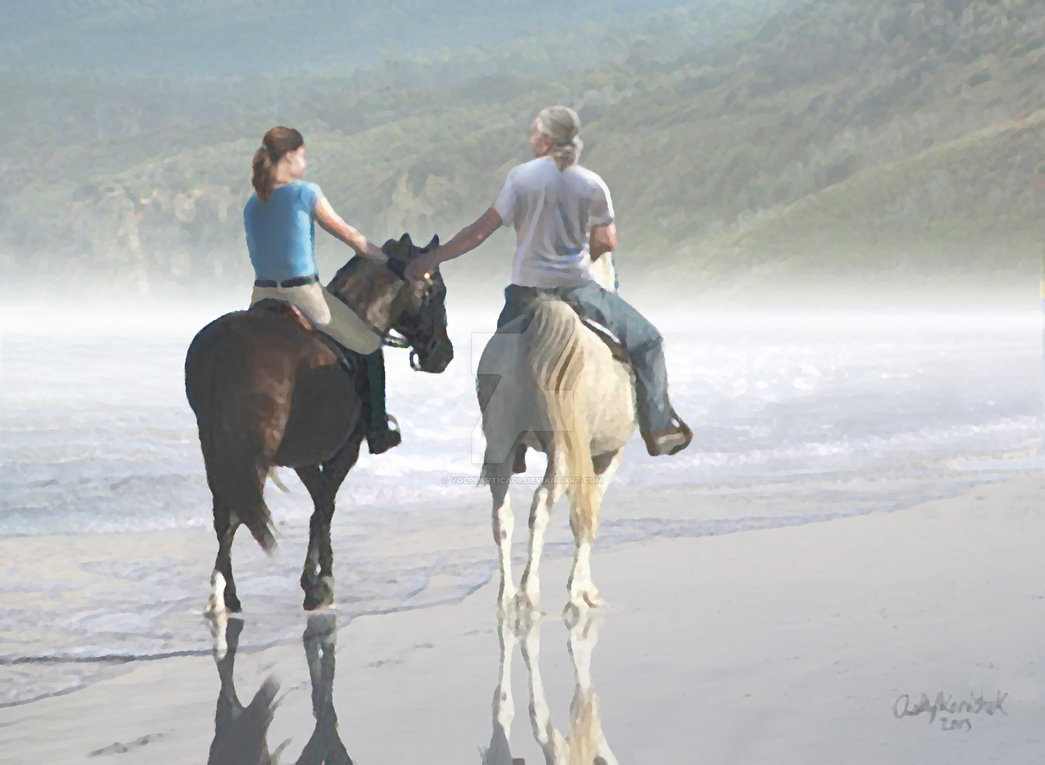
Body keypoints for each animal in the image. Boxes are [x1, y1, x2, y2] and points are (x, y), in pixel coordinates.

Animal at [185, 234, 452, 614]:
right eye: (436, 292)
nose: (444, 354)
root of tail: (223, 349)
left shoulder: (305, 458)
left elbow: (318, 505)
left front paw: (315, 578)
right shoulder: (344, 451)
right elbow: (325, 507)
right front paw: (319, 582)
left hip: (216, 450)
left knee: (225, 515)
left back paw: (226, 593)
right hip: (250, 453)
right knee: (237, 513)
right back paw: (224, 594)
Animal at [475, 258, 634, 613]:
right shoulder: (606, 457)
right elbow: (589, 513)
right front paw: (584, 589)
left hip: (502, 445)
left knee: (501, 516)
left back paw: (507, 593)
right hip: (564, 451)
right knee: (543, 504)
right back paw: (530, 590)